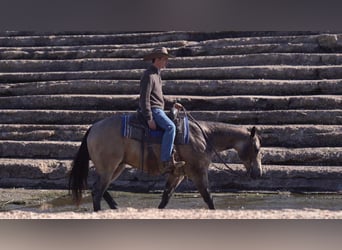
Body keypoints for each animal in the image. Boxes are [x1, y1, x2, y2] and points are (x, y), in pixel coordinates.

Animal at [69, 110, 262, 210]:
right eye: (257, 149)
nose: (258, 173)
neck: (204, 136)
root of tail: (93, 127)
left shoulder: (178, 174)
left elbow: (165, 198)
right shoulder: (198, 172)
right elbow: (208, 197)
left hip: (117, 167)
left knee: (100, 188)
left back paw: (115, 207)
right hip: (109, 167)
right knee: (97, 191)